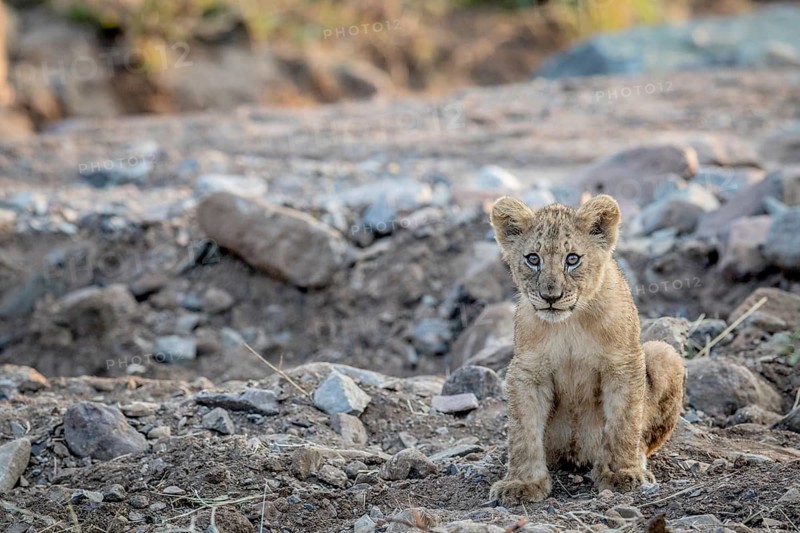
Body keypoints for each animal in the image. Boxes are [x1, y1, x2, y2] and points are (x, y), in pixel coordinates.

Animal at [488, 194, 684, 505]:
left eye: (572, 259)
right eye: (533, 259)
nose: (550, 296)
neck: (570, 322)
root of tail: (576, 454)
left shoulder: (624, 363)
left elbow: (624, 421)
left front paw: (622, 473)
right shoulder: (527, 371)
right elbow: (523, 431)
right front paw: (522, 483)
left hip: (664, 353)